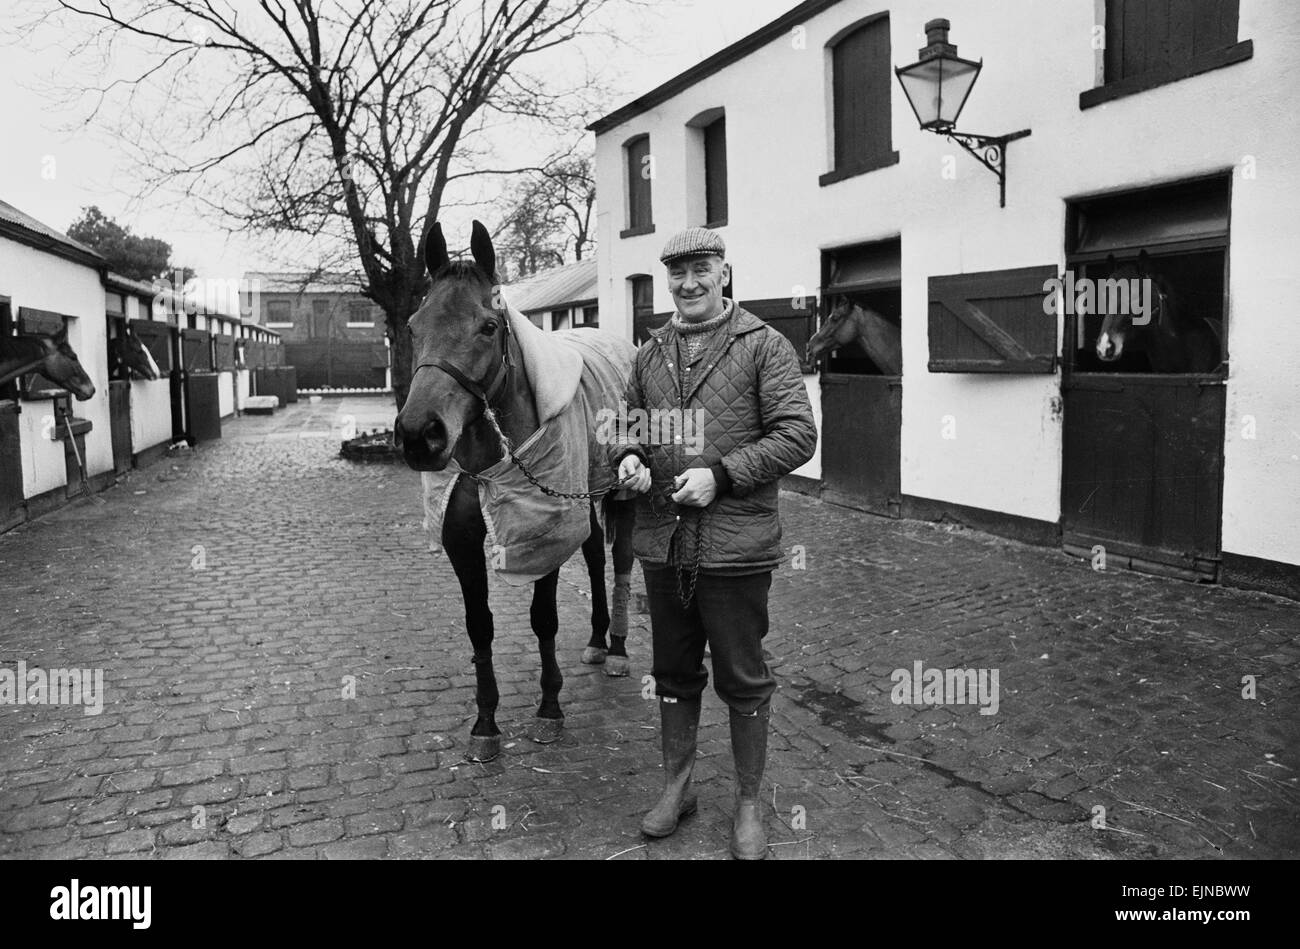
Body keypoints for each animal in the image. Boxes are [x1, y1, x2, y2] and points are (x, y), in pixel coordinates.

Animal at [395, 219, 639, 759]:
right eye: (414, 326)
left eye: (488, 326)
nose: (419, 435)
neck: (490, 463)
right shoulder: (461, 541)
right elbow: (479, 626)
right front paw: (485, 721)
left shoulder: (543, 535)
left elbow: (543, 617)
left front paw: (550, 709)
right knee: (595, 555)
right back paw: (596, 640)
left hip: (624, 488)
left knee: (621, 562)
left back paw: (616, 649)